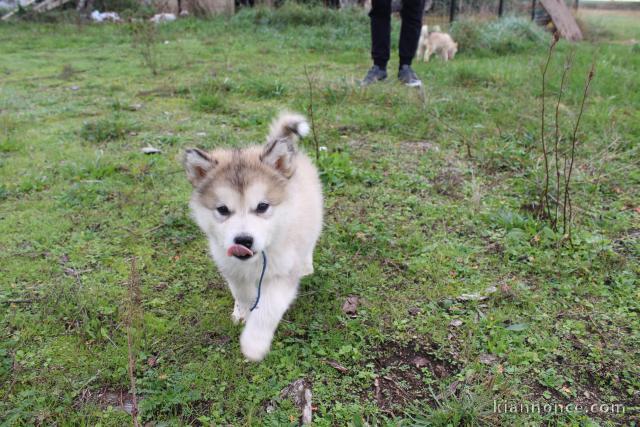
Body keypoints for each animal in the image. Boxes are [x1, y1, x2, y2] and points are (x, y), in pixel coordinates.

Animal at [182, 112, 322, 362]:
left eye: (262, 206)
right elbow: (242, 293)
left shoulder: (283, 274)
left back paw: (307, 266)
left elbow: (268, 308)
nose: (243, 241)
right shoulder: (232, 268)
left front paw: (254, 343)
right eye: (223, 209)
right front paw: (242, 313)